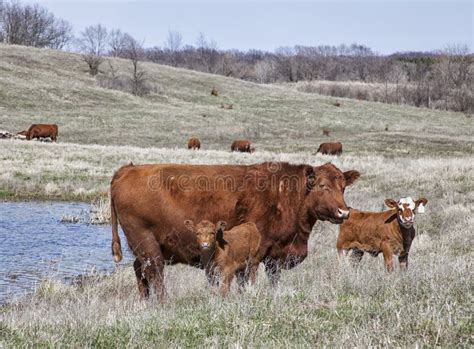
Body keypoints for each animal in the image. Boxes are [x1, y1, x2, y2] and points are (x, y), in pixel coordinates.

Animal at [108, 160, 360, 300]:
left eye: (343, 186)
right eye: (322, 185)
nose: (343, 212)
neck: (285, 193)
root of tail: (127, 171)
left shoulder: (274, 257)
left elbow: (273, 279)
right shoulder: (256, 254)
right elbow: (247, 279)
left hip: (143, 249)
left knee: (141, 271)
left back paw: (146, 302)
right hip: (148, 246)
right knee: (155, 273)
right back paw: (162, 302)